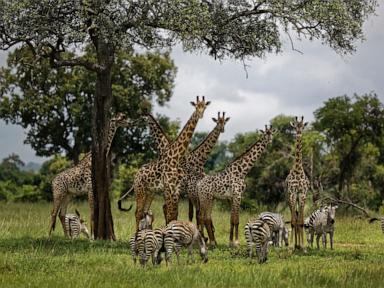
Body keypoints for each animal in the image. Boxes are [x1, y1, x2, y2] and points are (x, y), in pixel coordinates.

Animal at [132, 97, 210, 230]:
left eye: (204, 107)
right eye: (196, 106)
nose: (200, 115)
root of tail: (137, 174)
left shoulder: (175, 190)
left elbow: (172, 214)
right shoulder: (168, 189)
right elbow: (170, 214)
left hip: (150, 192)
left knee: (143, 212)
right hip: (141, 190)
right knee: (139, 212)